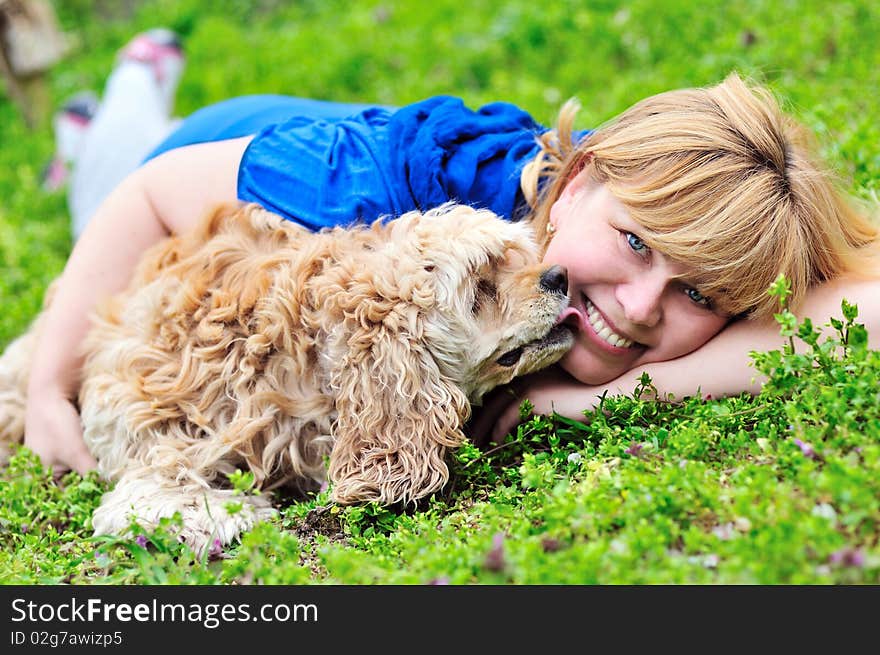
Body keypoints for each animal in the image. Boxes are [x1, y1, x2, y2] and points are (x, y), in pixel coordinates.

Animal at [0, 202, 576, 552]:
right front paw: (226, 512)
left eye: (514, 259)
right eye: (481, 288)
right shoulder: (147, 427)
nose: (559, 274)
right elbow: (158, 491)